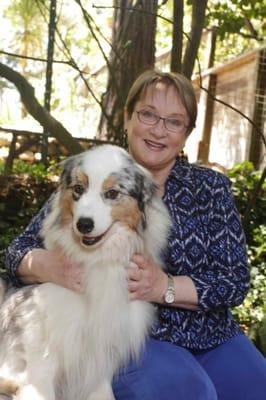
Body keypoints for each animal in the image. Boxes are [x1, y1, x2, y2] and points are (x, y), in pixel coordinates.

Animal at [0, 145, 170, 400]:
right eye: (78, 189)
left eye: (112, 193)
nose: (84, 224)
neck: (97, 259)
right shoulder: (42, 345)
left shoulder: (102, 354)